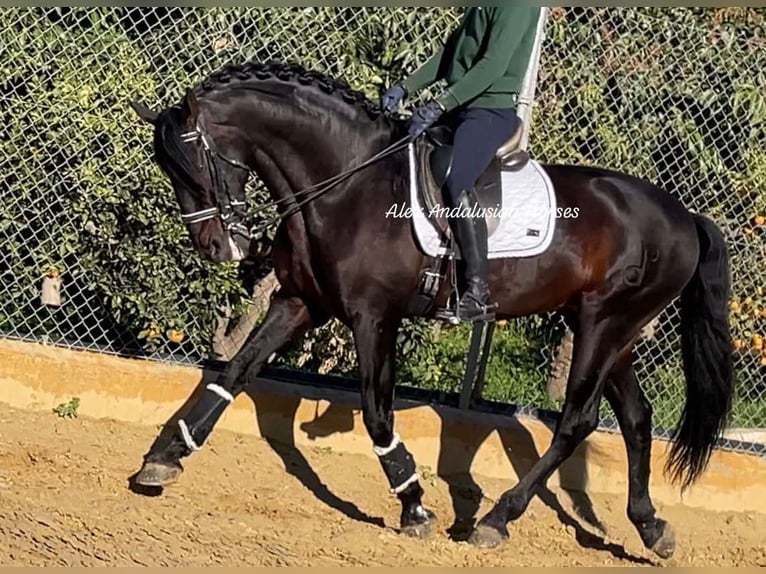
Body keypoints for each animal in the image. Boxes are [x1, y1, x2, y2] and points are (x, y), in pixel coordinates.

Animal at [129, 60, 736, 560]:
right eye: (169, 170)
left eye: (193, 164)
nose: (215, 247)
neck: (347, 182)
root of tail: (683, 216)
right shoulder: (300, 302)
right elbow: (233, 372)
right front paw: (163, 458)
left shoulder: (373, 317)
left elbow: (377, 412)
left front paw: (414, 504)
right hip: (611, 331)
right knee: (635, 418)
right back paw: (651, 528)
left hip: (601, 324)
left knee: (577, 421)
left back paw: (496, 520)